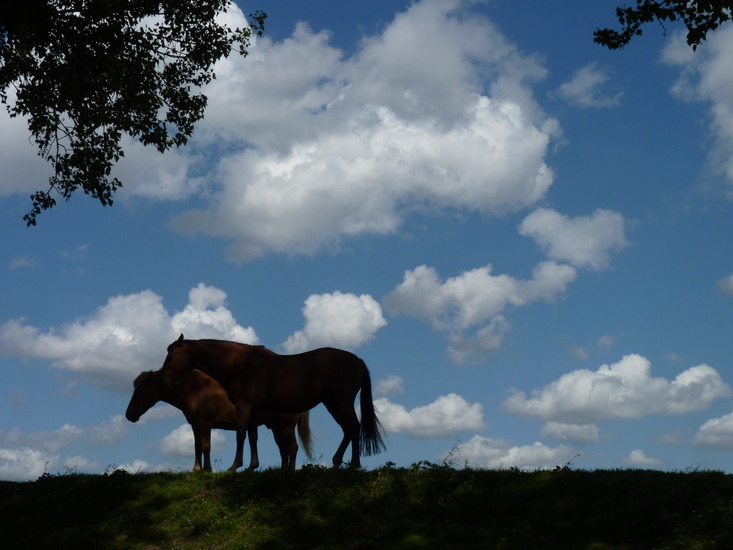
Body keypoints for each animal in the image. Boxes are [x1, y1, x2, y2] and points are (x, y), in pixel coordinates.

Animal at [125, 368, 313, 471]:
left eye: (141, 389)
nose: (129, 414)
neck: (193, 388)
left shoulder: (204, 422)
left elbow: (206, 446)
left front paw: (207, 470)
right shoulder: (195, 425)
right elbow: (197, 447)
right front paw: (196, 469)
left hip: (285, 427)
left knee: (292, 448)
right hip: (276, 427)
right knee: (284, 450)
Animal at [159, 335, 386, 468]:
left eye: (170, 357)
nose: (163, 380)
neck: (238, 363)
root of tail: (358, 361)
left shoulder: (244, 405)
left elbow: (241, 434)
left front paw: (235, 466)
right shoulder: (254, 409)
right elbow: (252, 437)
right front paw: (251, 467)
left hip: (341, 403)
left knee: (353, 428)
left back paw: (353, 465)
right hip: (333, 404)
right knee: (348, 430)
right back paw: (337, 462)